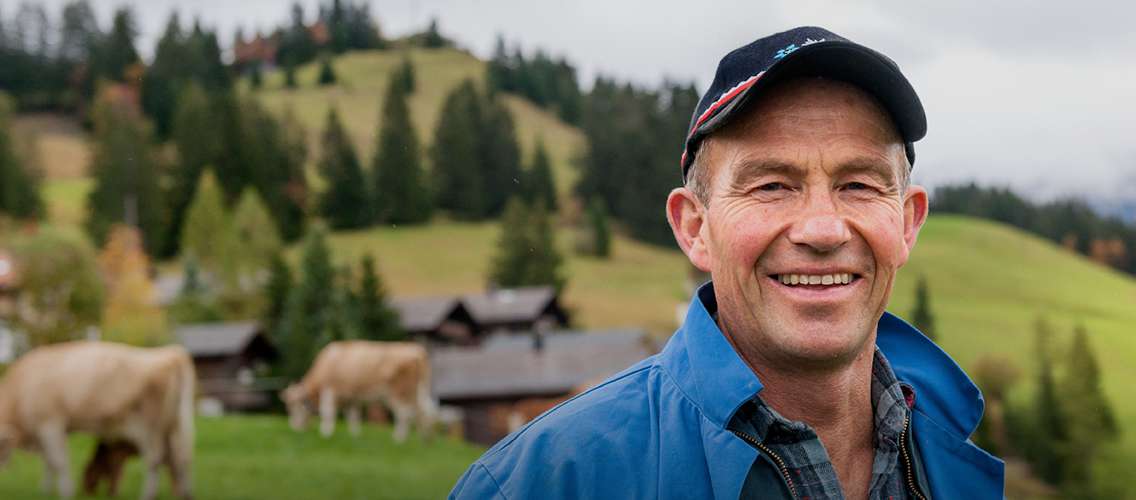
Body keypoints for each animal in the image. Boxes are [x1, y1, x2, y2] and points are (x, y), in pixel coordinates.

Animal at [0, 340, 193, 497]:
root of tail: (171, 353)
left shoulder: (50, 424)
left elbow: (58, 462)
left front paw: (66, 492)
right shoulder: (47, 431)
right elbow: (48, 463)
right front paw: (45, 492)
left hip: (150, 429)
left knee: (155, 461)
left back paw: (147, 495)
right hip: (173, 427)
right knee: (180, 460)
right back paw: (184, 494)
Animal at [282, 340, 433, 440]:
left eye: (293, 407)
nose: (293, 427)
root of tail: (416, 350)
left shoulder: (330, 390)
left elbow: (328, 412)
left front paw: (326, 432)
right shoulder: (351, 398)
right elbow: (353, 417)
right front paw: (354, 436)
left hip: (398, 392)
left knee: (404, 413)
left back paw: (398, 438)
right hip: (417, 391)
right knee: (423, 412)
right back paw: (424, 439)